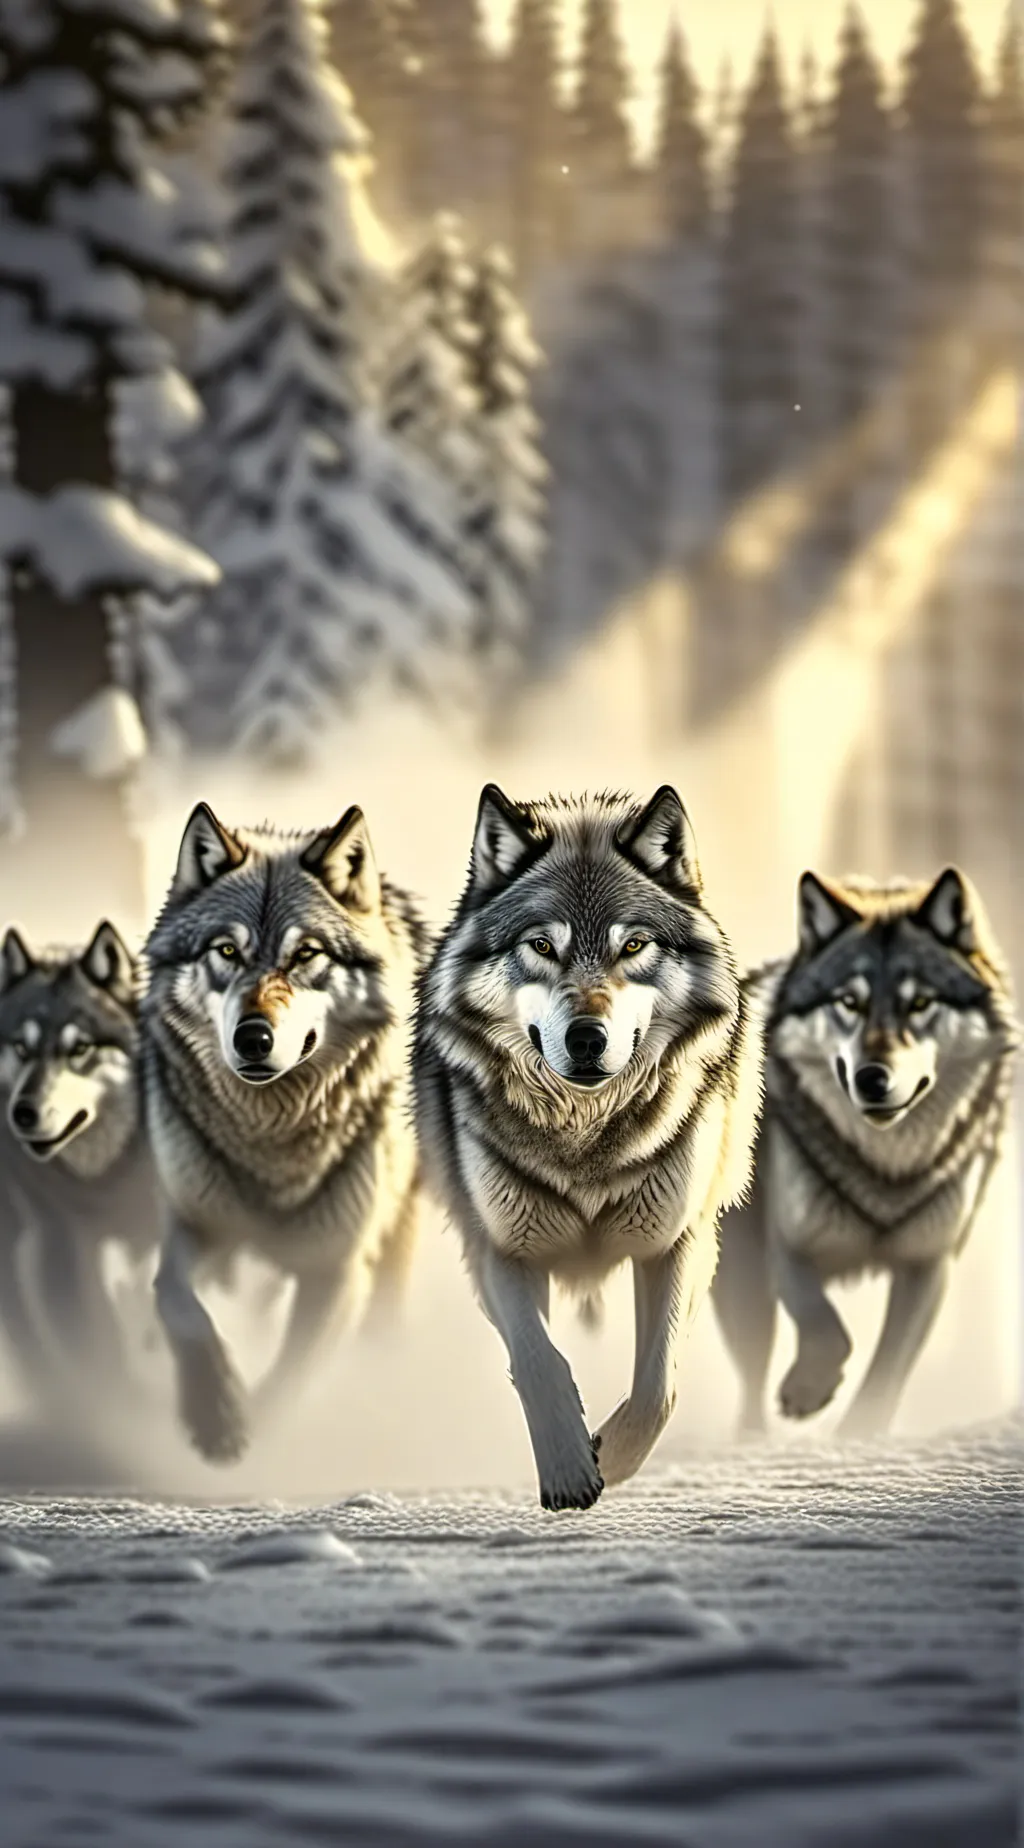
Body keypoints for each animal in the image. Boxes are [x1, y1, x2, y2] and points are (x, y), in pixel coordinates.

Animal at [143, 801, 425, 1465]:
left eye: (305, 955)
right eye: (226, 950)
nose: (254, 1037)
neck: (271, 1138)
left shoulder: (338, 1268)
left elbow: (292, 1379)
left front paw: (258, 1434)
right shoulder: (192, 1225)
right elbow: (178, 1304)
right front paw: (214, 1411)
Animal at [413, 784, 763, 1511]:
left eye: (633, 944)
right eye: (542, 945)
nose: (586, 1037)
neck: (584, 1139)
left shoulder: (676, 1241)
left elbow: (659, 1385)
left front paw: (615, 1455)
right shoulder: (501, 1246)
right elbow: (538, 1359)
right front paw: (569, 1468)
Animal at [712, 867, 1018, 1441]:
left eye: (919, 1004)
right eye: (847, 1003)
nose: (872, 1078)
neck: (886, 1169)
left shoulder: (929, 1264)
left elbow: (887, 1372)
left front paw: (859, 1433)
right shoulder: (788, 1245)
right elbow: (825, 1327)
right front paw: (808, 1391)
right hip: (742, 1287)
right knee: (750, 1379)